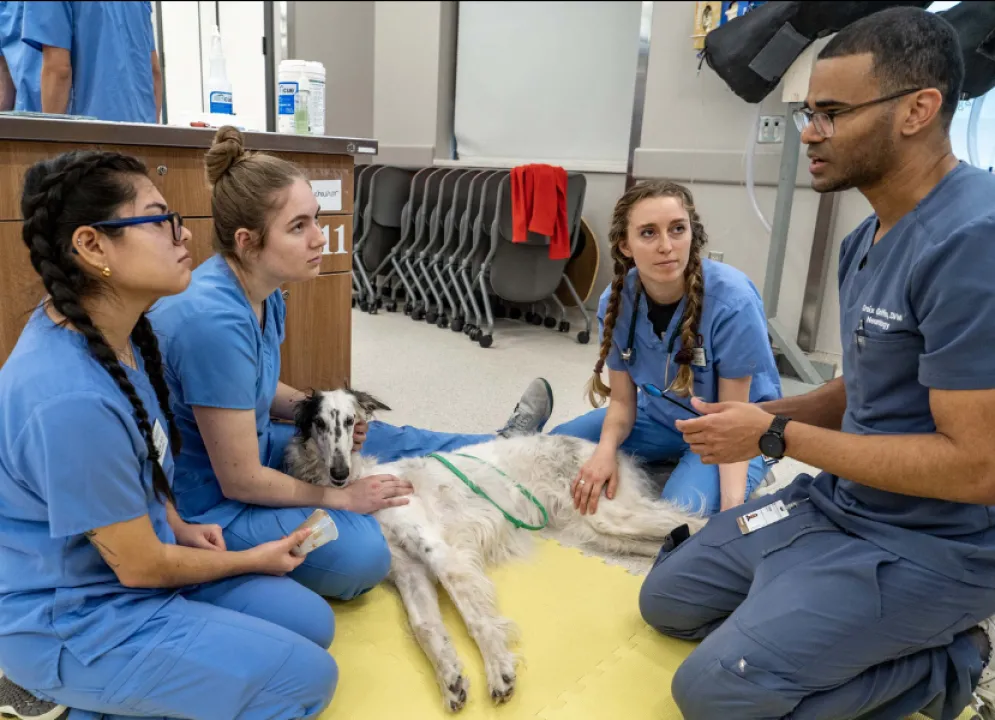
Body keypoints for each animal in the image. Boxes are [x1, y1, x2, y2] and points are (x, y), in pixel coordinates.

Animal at [286, 386, 708, 712]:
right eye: (320, 423)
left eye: (350, 422)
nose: (339, 474)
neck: (366, 484)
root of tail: (602, 448)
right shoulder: (408, 570)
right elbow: (426, 628)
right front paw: (451, 680)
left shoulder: (440, 551)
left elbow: (477, 620)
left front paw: (498, 670)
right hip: (597, 530)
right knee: (672, 534)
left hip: (613, 517)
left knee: (697, 523)